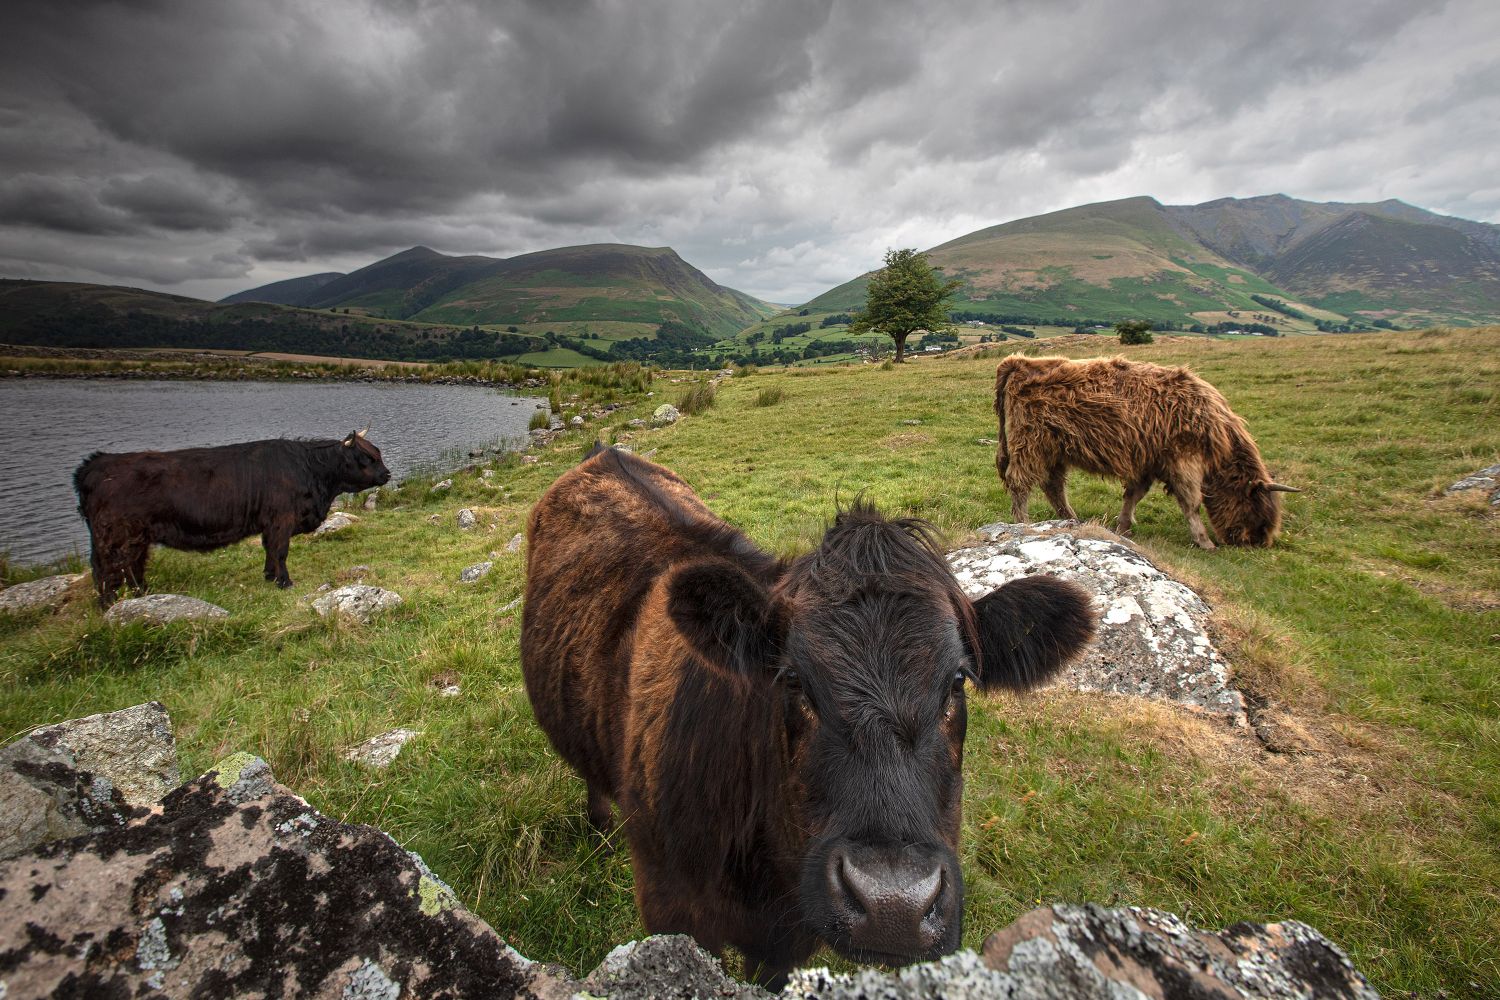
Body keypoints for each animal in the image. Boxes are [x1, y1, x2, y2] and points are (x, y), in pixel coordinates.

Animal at [73, 428, 390, 602]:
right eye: (367, 457)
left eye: (378, 453)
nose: (387, 474)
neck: (314, 472)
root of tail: (94, 464)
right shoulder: (281, 518)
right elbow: (280, 550)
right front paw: (285, 582)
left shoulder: (269, 522)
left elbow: (269, 549)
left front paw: (268, 576)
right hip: (116, 537)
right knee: (107, 570)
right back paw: (110, 603)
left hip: (136, 538)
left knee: (132, 567)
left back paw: (142, 594)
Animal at [522, 446, 1098, 995]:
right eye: (793, 679)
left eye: (958, 680)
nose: (893, 905)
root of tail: (605, 451)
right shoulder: (671, 910)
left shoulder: (787, 941)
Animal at [990, 355, 1296, 551]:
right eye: (1258, 509)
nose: (1258, 542)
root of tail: (1017, 362)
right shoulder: (1183, 459)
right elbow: (1191, 501)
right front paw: (1204, 541)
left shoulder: (1149, 461)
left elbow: (1133, 495)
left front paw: (1123, 527)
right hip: (1030, 444)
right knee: (1020, 484)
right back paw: (1023, 523)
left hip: (1055, 449)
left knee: (1053, 486)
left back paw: (1072, 519)